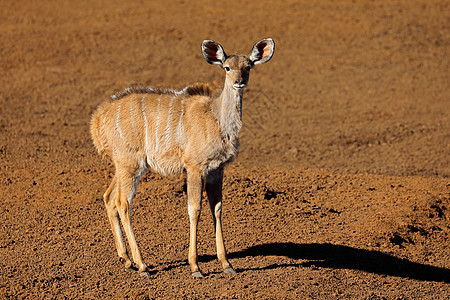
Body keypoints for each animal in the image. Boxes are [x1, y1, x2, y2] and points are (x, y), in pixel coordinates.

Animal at [90, 38, 274, 278]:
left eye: (248, 67)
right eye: (227, 67)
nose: (238, 82)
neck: (215, 118)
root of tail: (98, 118)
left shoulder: (217, 170)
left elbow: (217, 209)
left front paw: (227, 264)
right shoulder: (194, 167)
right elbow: (194, 209)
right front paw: (195, 267)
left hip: (125, 166)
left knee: (109, 197)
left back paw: (126, 260)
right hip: (130, 165)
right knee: (123, 202)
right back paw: (142, 266)